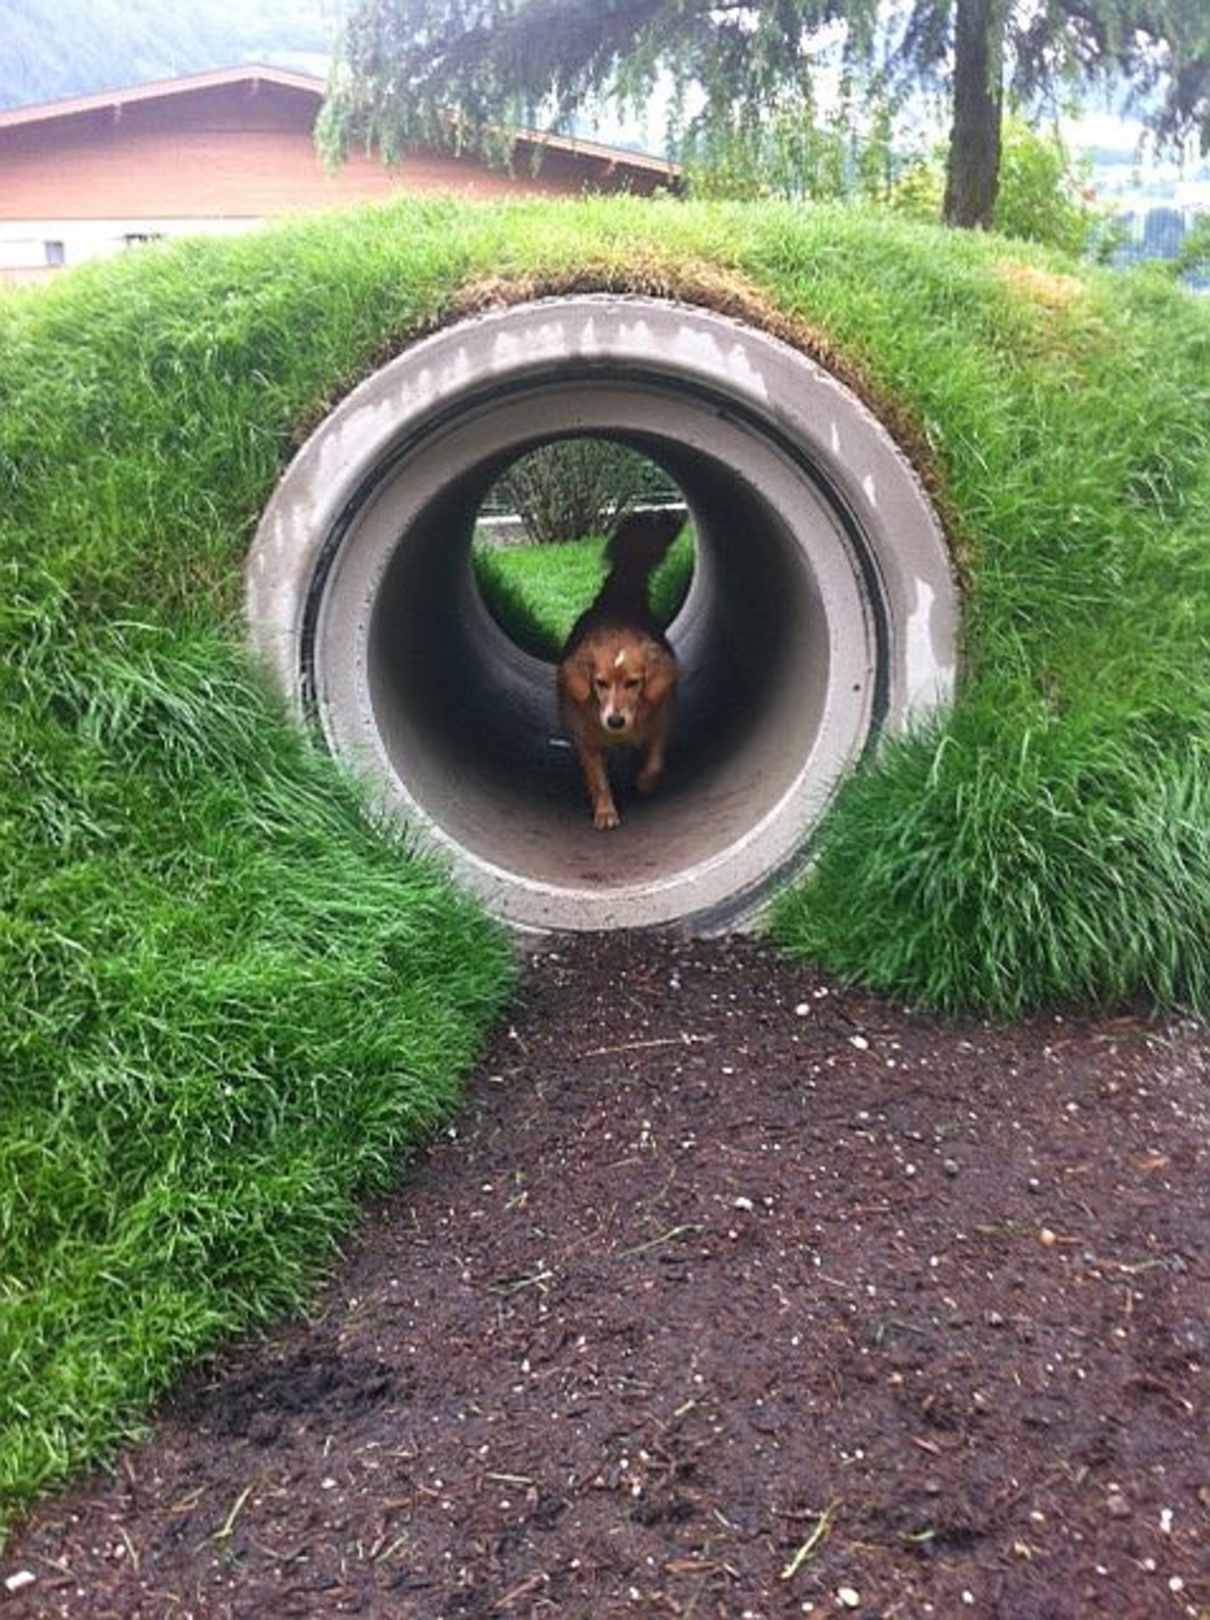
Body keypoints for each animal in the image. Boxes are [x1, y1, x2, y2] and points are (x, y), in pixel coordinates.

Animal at [557, 508, 682, 830]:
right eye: (599, 683)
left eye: (634, 683)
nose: (615, 721)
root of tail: (618, 593)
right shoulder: (586, 739)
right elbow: (598, 778)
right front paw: (605, 812)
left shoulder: (660, 721)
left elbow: (655, 761)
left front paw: (645, 783)